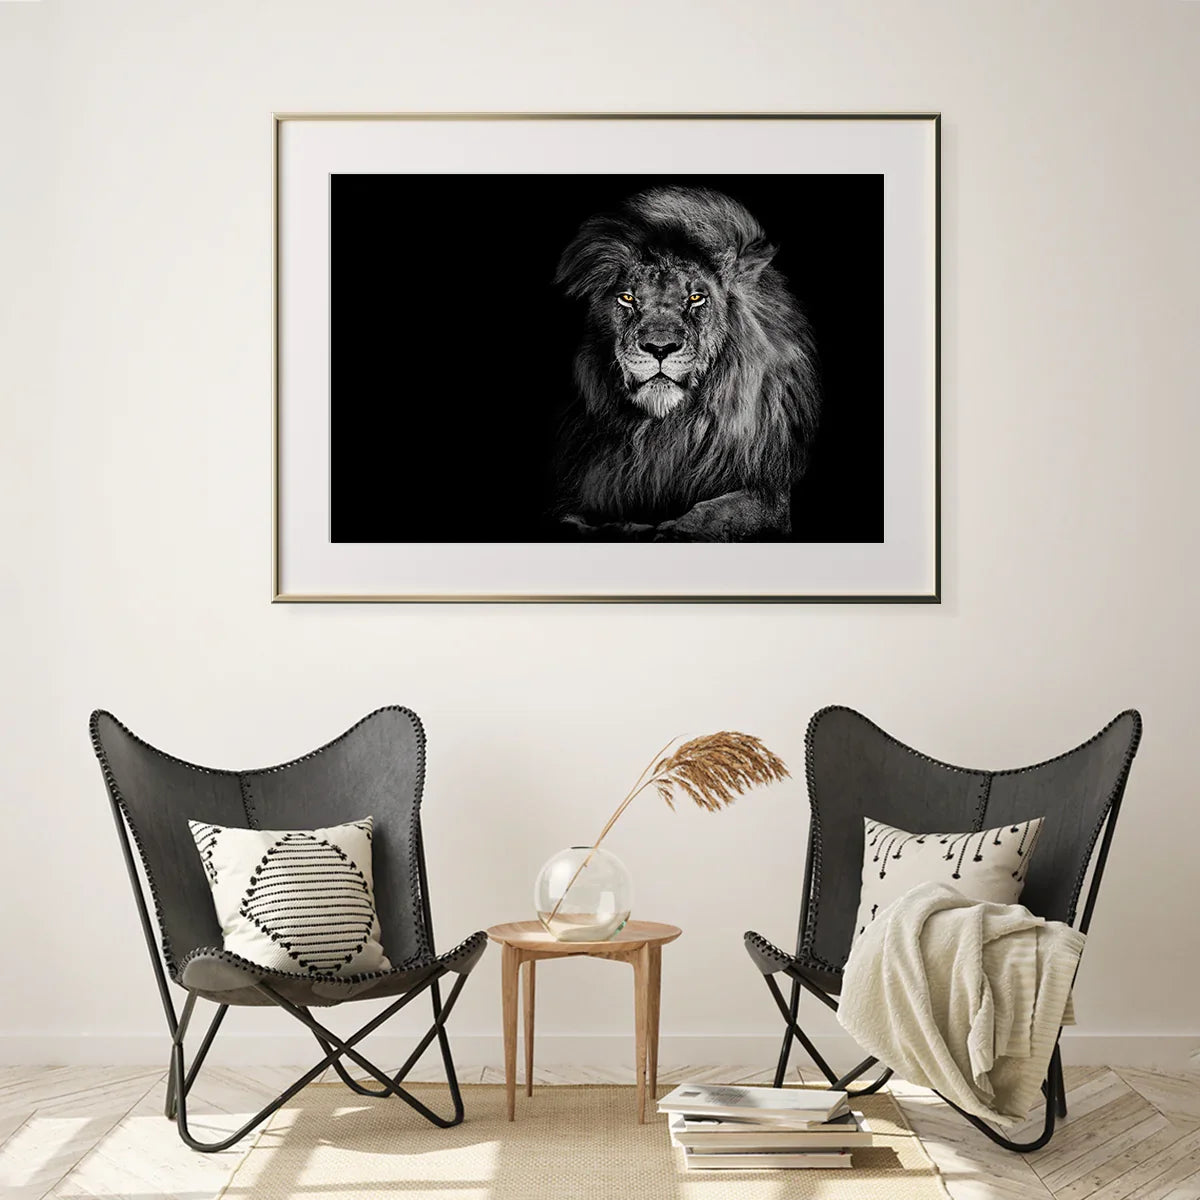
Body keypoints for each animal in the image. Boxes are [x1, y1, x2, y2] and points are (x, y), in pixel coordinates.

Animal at [551, 186, 820, 541]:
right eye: (627, 298)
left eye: (695, 298)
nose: (659, 348)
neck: (665, 428)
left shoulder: (770, 492)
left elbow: (715, 513)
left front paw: (671, 530)